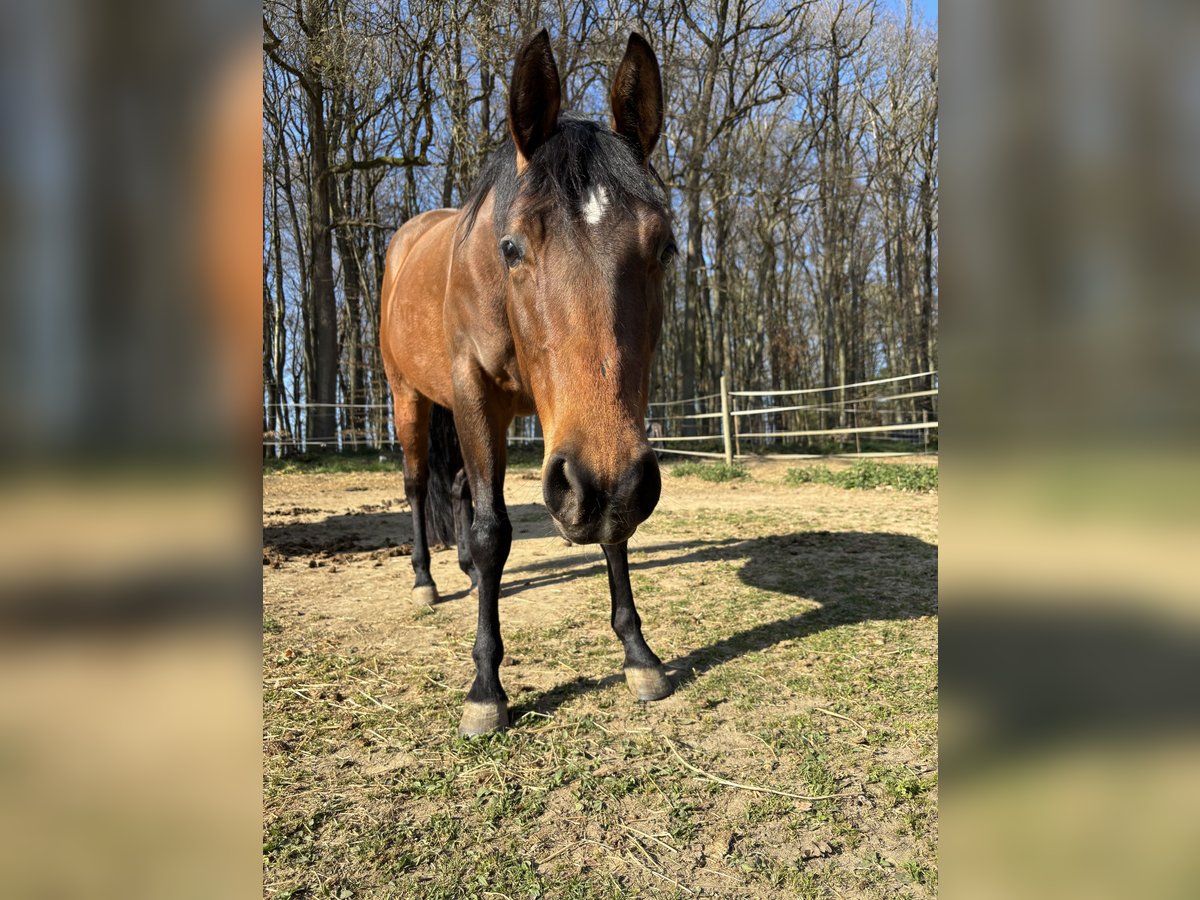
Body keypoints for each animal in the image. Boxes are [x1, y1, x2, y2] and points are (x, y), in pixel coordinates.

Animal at [379, 30, 676, 736]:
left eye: (666, 247)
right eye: (512, 247)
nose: (602, 484)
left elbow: (614, 530)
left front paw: (639, 653)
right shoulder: (474, 395)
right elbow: (495, 533)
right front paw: (486, 689)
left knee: (459, 485)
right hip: (411, 399)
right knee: (417, 485)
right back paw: (426, 579)